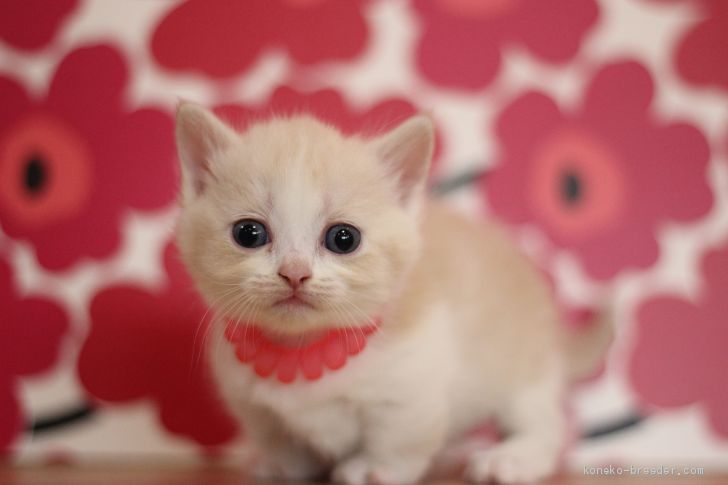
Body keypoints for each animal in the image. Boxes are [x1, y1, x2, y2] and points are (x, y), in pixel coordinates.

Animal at [172, 100, 608, 482]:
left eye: (343, 238)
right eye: (248, 233)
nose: (294, 273)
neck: (304, 350)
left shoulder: (413, 381)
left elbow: (398, 436)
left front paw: (374, 467)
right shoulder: (249, 401)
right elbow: (278, 437)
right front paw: (284, 464)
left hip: (525, 367)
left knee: (542, 423)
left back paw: (513, 458)